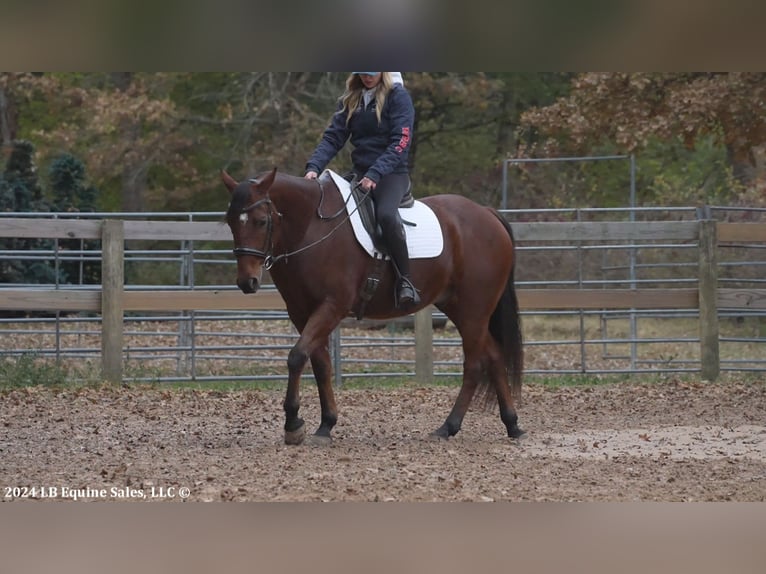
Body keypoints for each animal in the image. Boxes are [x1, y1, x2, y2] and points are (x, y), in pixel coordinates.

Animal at [219, 166, 524, 446]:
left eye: (260, 221)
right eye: (231, 222)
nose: (247, 281)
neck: (311, 228)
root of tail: (487, 213)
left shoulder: (332, 306)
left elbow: (296, 357)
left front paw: (293, 423)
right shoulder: (301, 312)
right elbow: (319, 363)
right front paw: (325, 424)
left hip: (474, 310)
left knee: (474, 363)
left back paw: (448, 426)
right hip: (460, 308)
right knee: (494, 356)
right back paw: (511, 424)